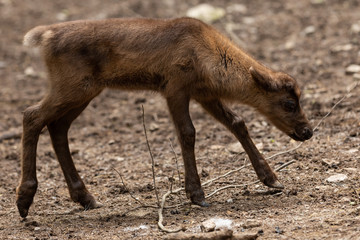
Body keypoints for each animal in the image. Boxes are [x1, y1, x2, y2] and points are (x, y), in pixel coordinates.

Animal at [17, 17, 312, 218]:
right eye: (289, 103)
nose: (308, 131)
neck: (209, 58)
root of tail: (42, 36)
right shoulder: (175, 86)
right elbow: (188, 132)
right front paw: (197, 195)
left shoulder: (204, 93)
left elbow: (238, 122)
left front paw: (272, 179)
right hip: (72, 86)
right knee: (31, 115)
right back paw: (24, 201)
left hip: (85, 90)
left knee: (58, 126)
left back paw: (85, 197)